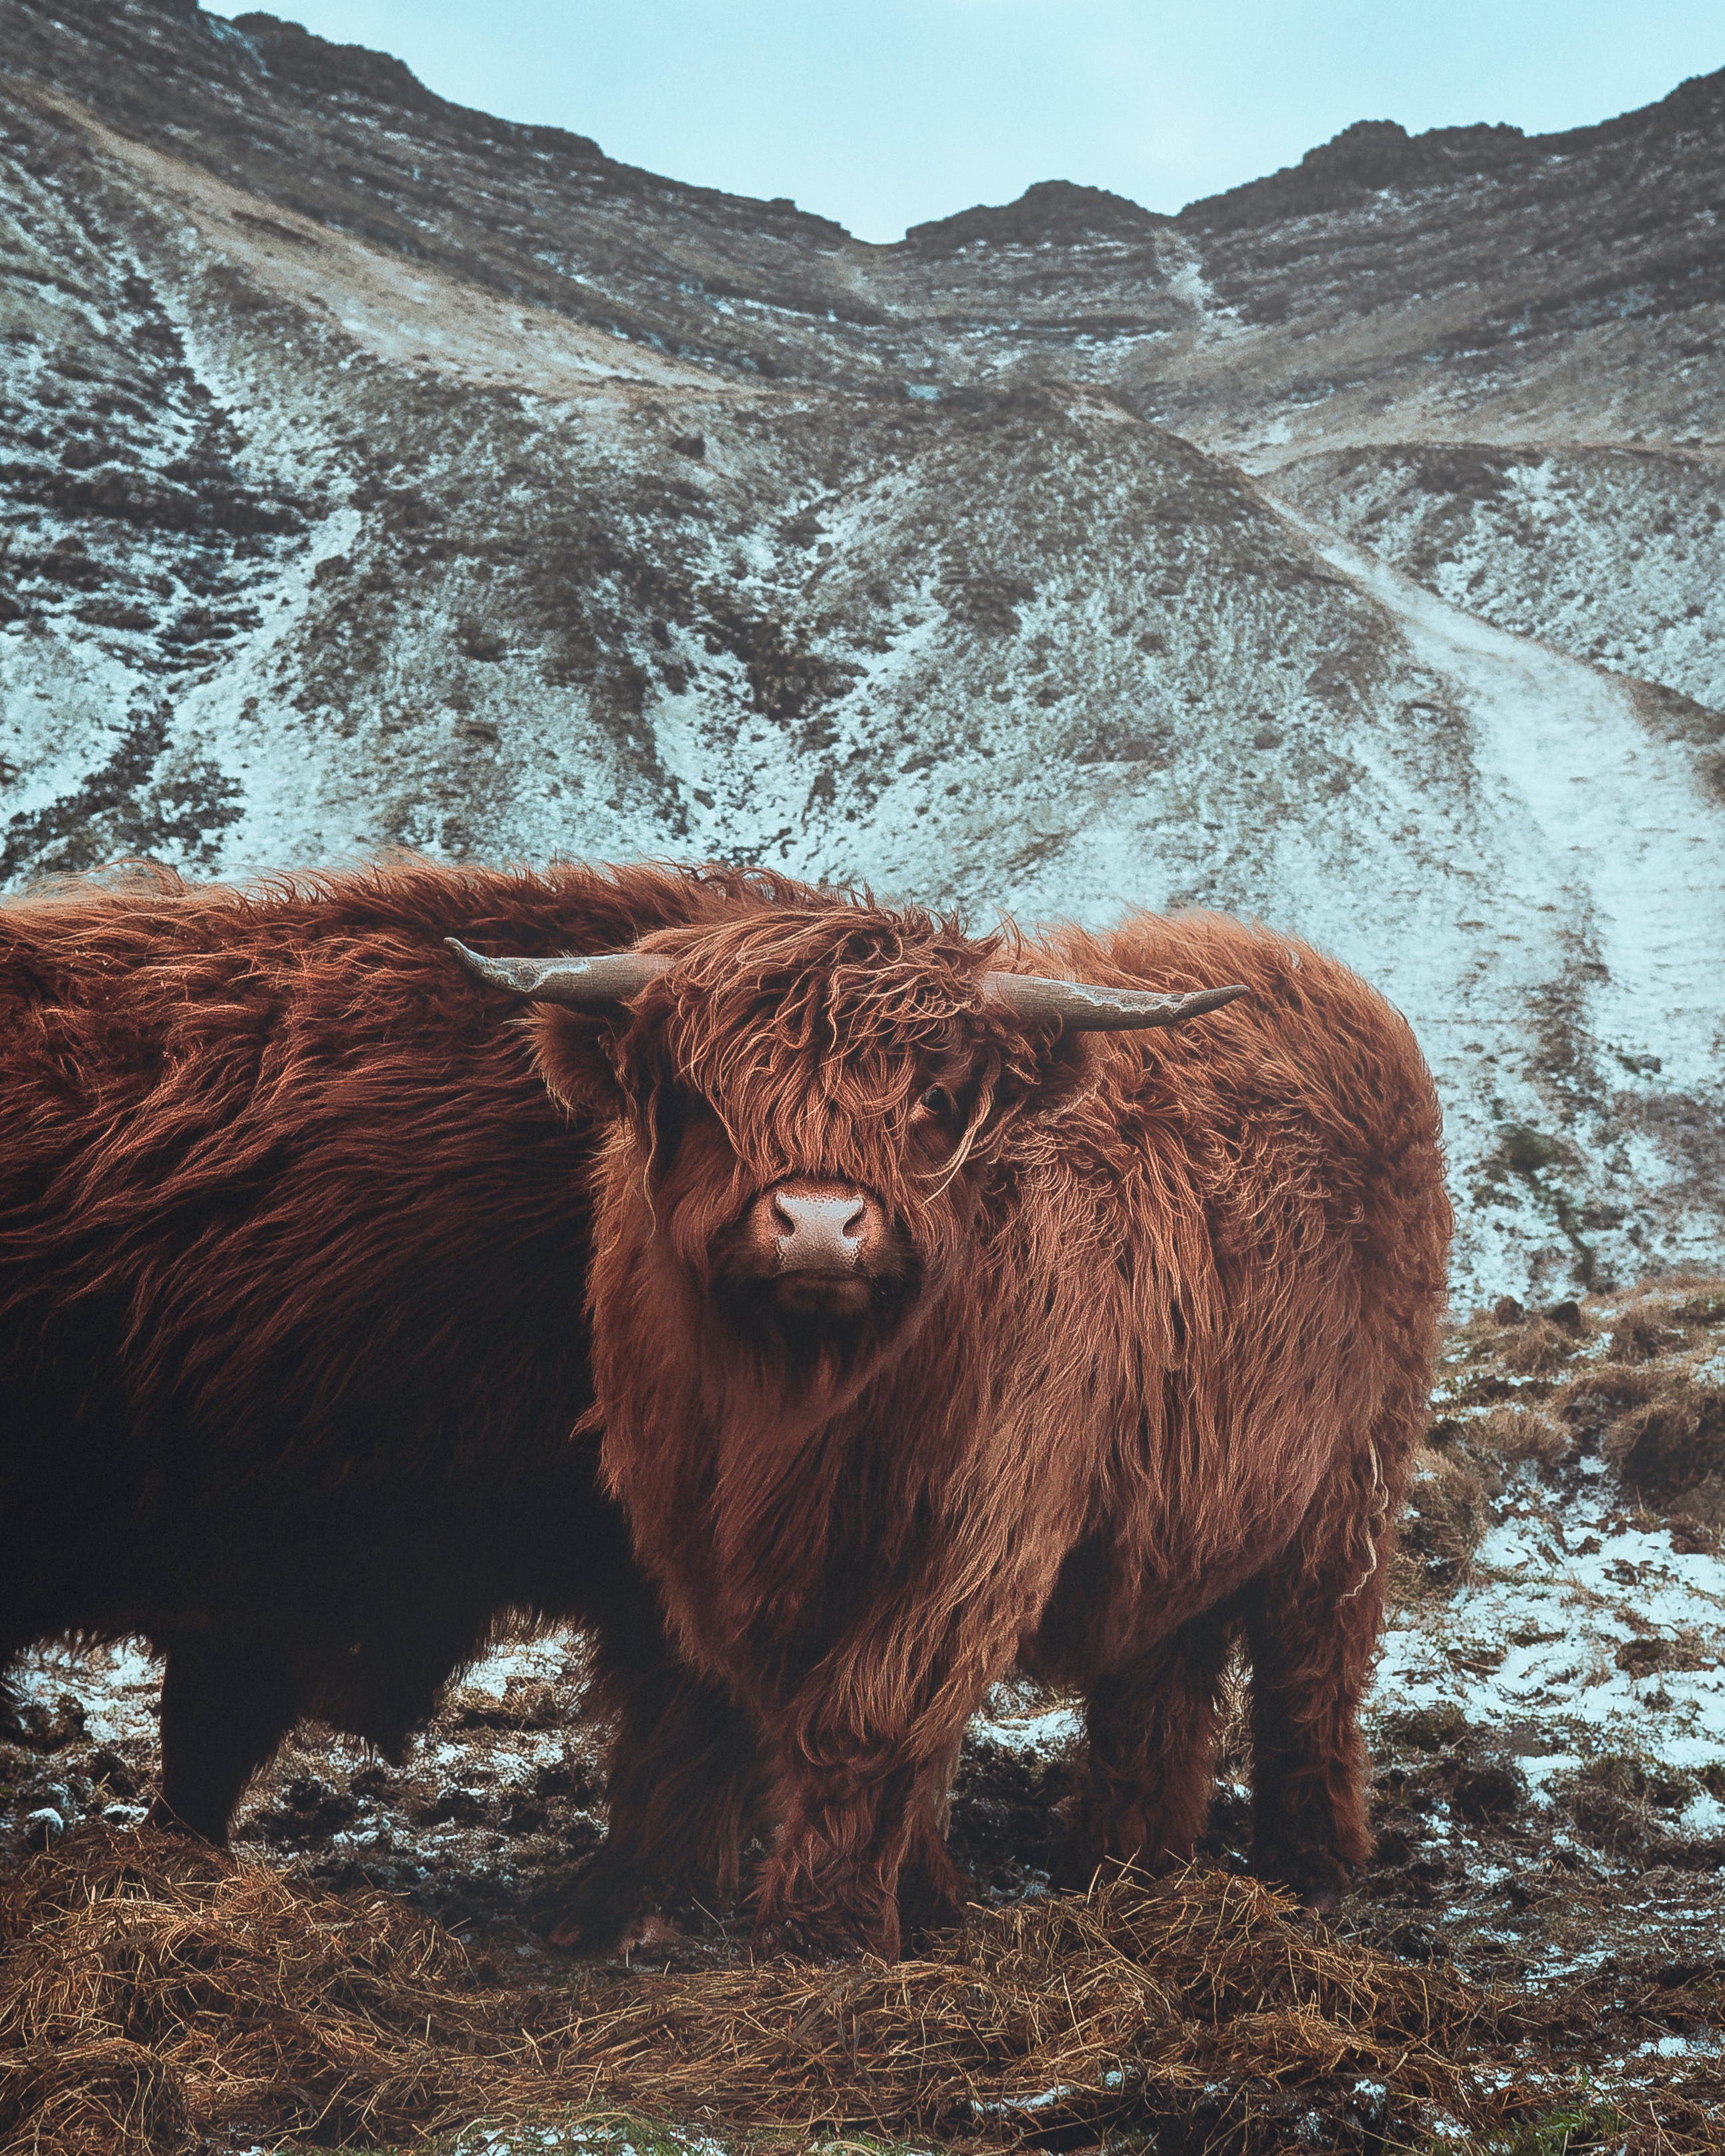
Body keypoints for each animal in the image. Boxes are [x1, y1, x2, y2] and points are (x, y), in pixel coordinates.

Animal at [453, 877, 1450, 1958]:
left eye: (930, 1099)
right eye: (705, 1099)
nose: (818, 1223)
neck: (809, 1402)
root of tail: (1310, 972)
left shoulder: (971, 1531)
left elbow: (870, 1714)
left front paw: (825, 1929)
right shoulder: (706, 1538)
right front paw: (926, 1901)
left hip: (1353, 1473)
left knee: (1311, 1659)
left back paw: (1309, 1863)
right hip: (1182, 1490)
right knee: (1157, 1669)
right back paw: (1127, 1861)